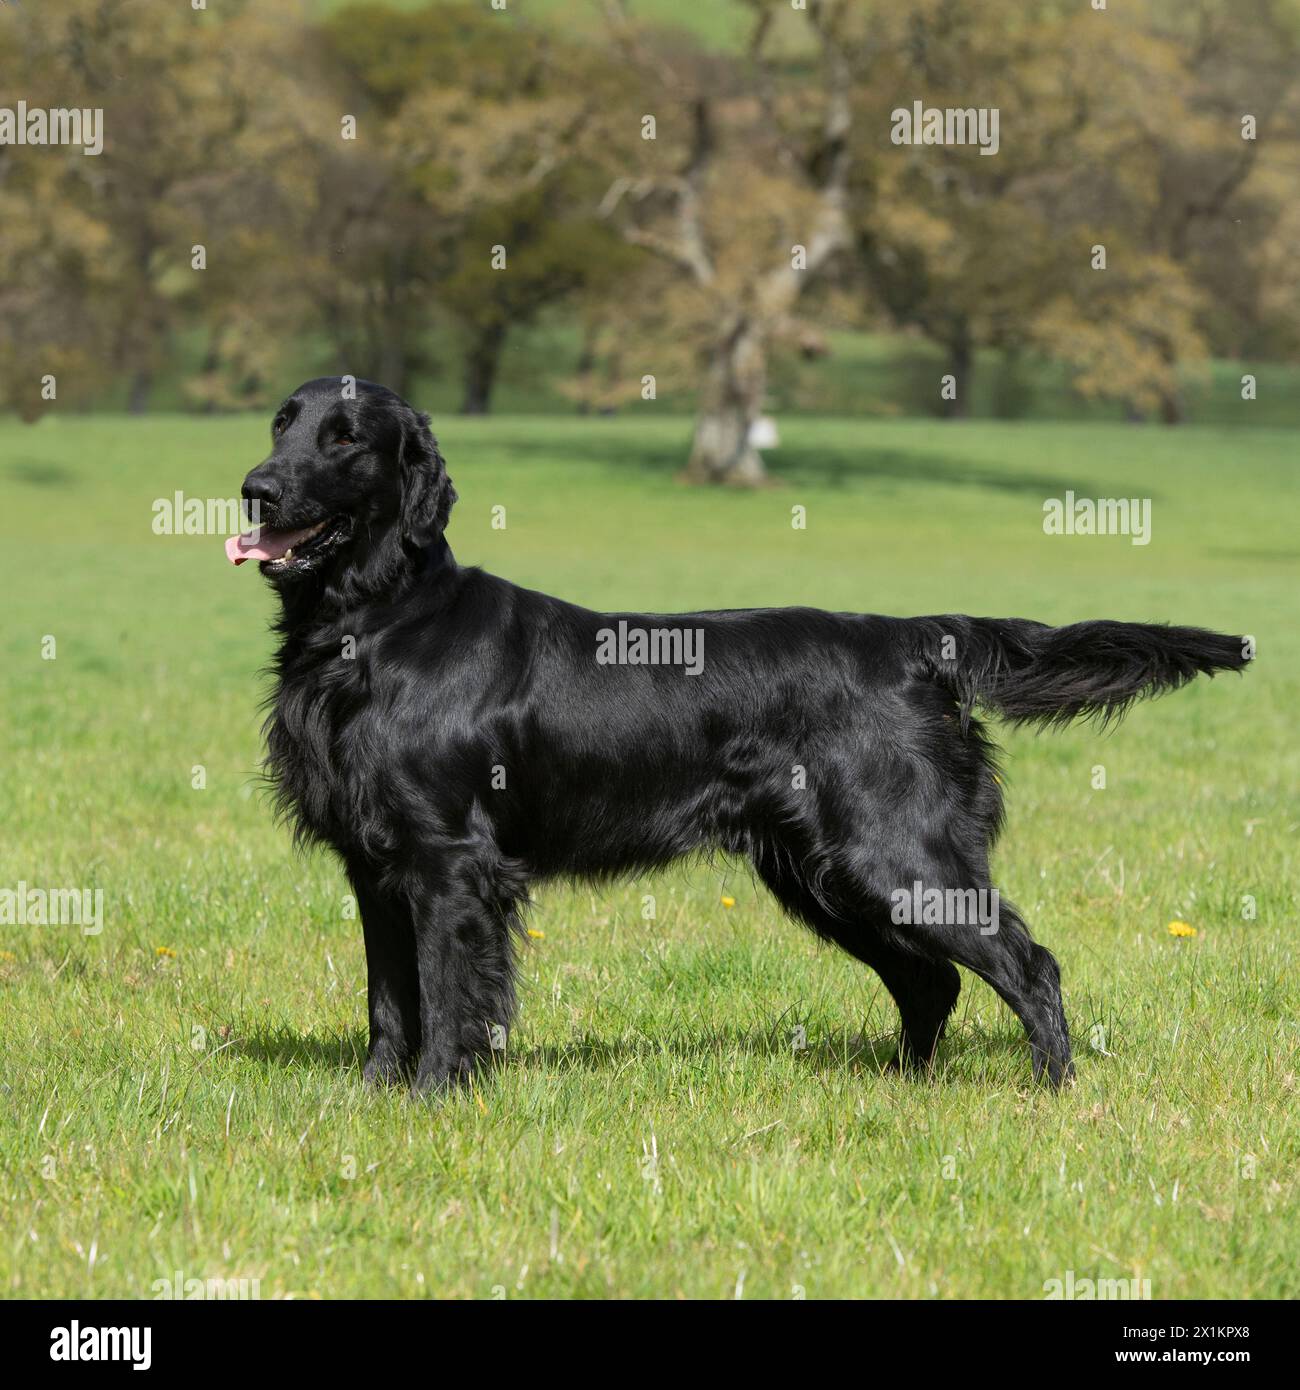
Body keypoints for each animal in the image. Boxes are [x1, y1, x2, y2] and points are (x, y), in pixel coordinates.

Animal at [230, 380, 1251, 1095]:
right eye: (281, 424)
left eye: (345, 438)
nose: (254, 490)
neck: (376, 623)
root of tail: (917, 636)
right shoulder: (377, 867)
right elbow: (387, 998)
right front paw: (374, 1096)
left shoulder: (450, 862)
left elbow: (446, 997)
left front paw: (439, 1096)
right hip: (823, 873)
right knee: (931, 983)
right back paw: (908, 1087)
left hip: (897, 854)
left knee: (1026, 963)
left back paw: (1054, 1087)